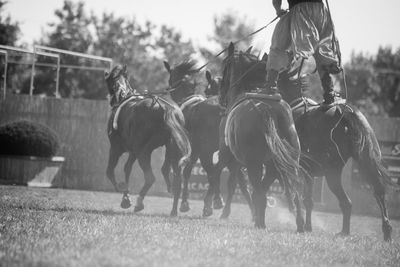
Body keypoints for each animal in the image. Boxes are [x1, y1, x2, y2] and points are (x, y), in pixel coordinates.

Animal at [103, 65, 191, 218]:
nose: (112, 101)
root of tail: (165, 108)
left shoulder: (116, 148)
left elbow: (110, 171)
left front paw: (124, 195)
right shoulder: (133, 152)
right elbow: (127, 168)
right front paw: (125, 197)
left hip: (144, 151)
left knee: (150, 178)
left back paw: (139, 202)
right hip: (171, 150)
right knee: (177, 179)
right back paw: (174, 210)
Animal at [222, 43, 306, 231]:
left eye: (225, 66)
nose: (221, 97)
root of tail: (267, 108)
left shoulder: (235, 161)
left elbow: (234, 184)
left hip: (254, 165)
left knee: (259, 193)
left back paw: (260, 223)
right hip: (284, 164)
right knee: (294, 193)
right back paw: (300, 225)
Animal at [276, 70, 398, 242]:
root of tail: (345, 112)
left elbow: (301, 197)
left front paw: (303, 226)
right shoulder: (308, 173)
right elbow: (308, 200)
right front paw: (307, 227)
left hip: (331, 173)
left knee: (346, 202)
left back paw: (344, 231)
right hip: (366, 161)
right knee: (377, 191)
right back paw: (384, 231)